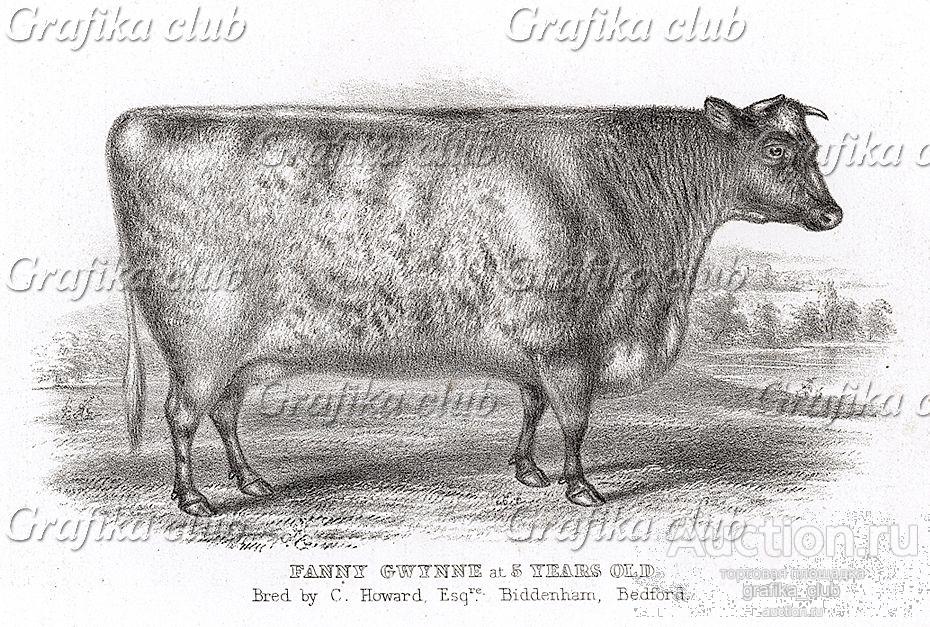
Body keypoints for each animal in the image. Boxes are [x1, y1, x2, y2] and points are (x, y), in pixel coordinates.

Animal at [107, 95, 842, 516]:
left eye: (811, 147)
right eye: (777, 149)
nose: (833, 214)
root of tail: (140, 122)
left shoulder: (536, 345)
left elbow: (534, 405)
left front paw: (528, 470)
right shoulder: (569, 341)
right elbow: (575, 419)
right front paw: (580, 487)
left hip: (243, 353)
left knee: (225, 413)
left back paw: (251, 481)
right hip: (201, 341)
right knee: (182, 415)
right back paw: (193, 498)